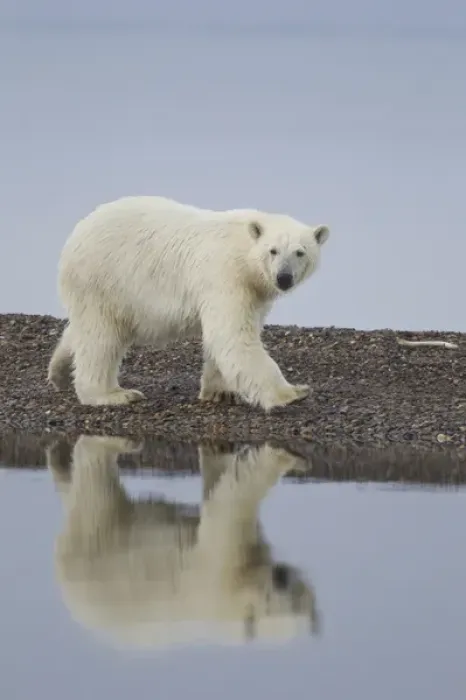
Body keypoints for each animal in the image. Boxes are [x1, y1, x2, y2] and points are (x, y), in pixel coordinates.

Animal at [47, 196, 330, 410]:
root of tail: (73, 238)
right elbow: (232, 335)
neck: (243, 249)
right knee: (101, 338)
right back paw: (113, 394)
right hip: (102, 279)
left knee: (85, 329)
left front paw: (219, 391)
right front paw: (291, 393)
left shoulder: (254, 292)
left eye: (300, 252)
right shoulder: (225, 275)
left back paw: (60, 371)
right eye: (273, 251)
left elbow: (224, 336)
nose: (284, 277)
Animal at [47, 435, 321, 650]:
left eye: (299, 604)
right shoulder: (220, 569)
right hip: (98, 541)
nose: (281, 577)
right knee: (96, 484)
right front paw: (287, 457)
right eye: (273, 600)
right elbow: (234, 496)